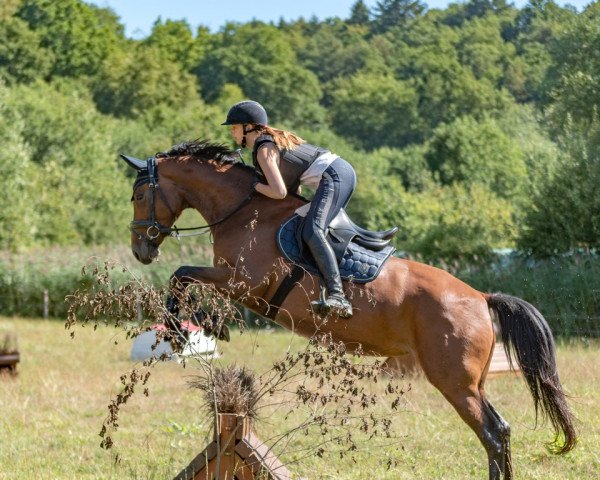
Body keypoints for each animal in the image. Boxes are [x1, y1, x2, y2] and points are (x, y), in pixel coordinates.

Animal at [123, 141, 576, 478]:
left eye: (140, 195)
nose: (141, 250)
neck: (244, 211)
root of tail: (482, 298)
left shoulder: (246, 284)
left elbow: (181, 275)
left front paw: (182, 330)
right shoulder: (238, 285)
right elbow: (185, 279)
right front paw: (202, 327)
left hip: (455, 383)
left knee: (492, 435)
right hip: (472, 383)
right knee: (501, 430)